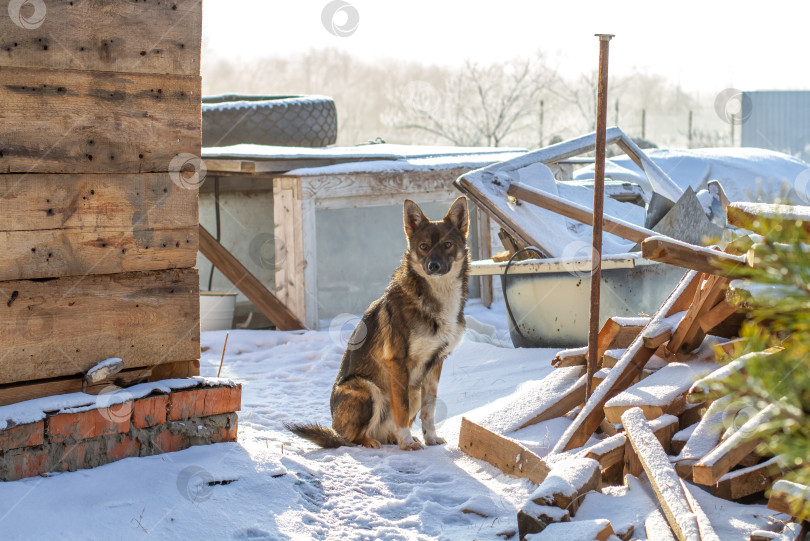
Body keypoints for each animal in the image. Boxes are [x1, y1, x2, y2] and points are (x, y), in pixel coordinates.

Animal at [288, 196, 470, 450]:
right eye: (423, 246)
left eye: (447, 245)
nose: (433, 266)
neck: (437, 297)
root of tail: (334, 428)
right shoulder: (397, 362)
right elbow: (401, 409)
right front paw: (407, 443)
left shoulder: (436, 364)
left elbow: (429, 410)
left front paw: (430, 439)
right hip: (366, 388)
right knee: (350, 439)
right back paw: (374, 441)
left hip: (413, 389)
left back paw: (394, 438)